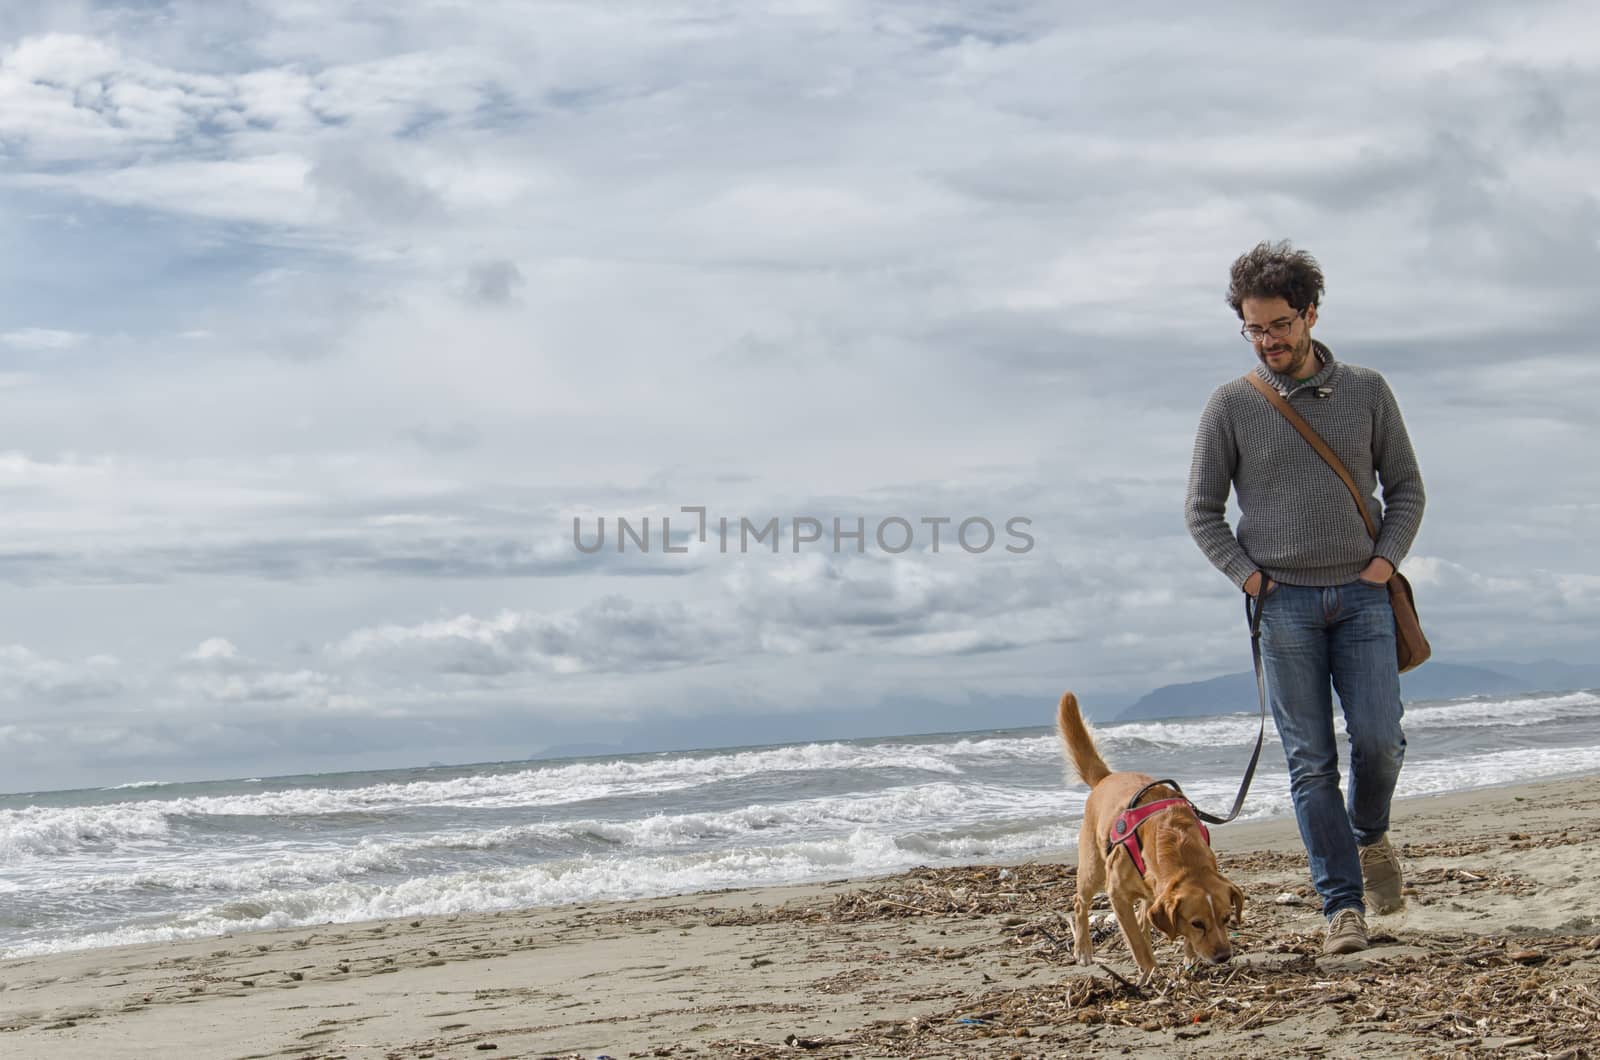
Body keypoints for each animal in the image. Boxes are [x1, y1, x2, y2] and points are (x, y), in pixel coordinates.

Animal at [1056, 694, 1241, 986]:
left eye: (1226, 917)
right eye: (1197, 923)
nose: (1223, 957)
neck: (1178, 847)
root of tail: (1106, 778)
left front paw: (1188, 959)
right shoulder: (1117, 894)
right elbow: (1137, 943)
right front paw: (1151, 971)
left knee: (1143, 918)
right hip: (1093, 869)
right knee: (1080, 902)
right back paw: (1083, 949)